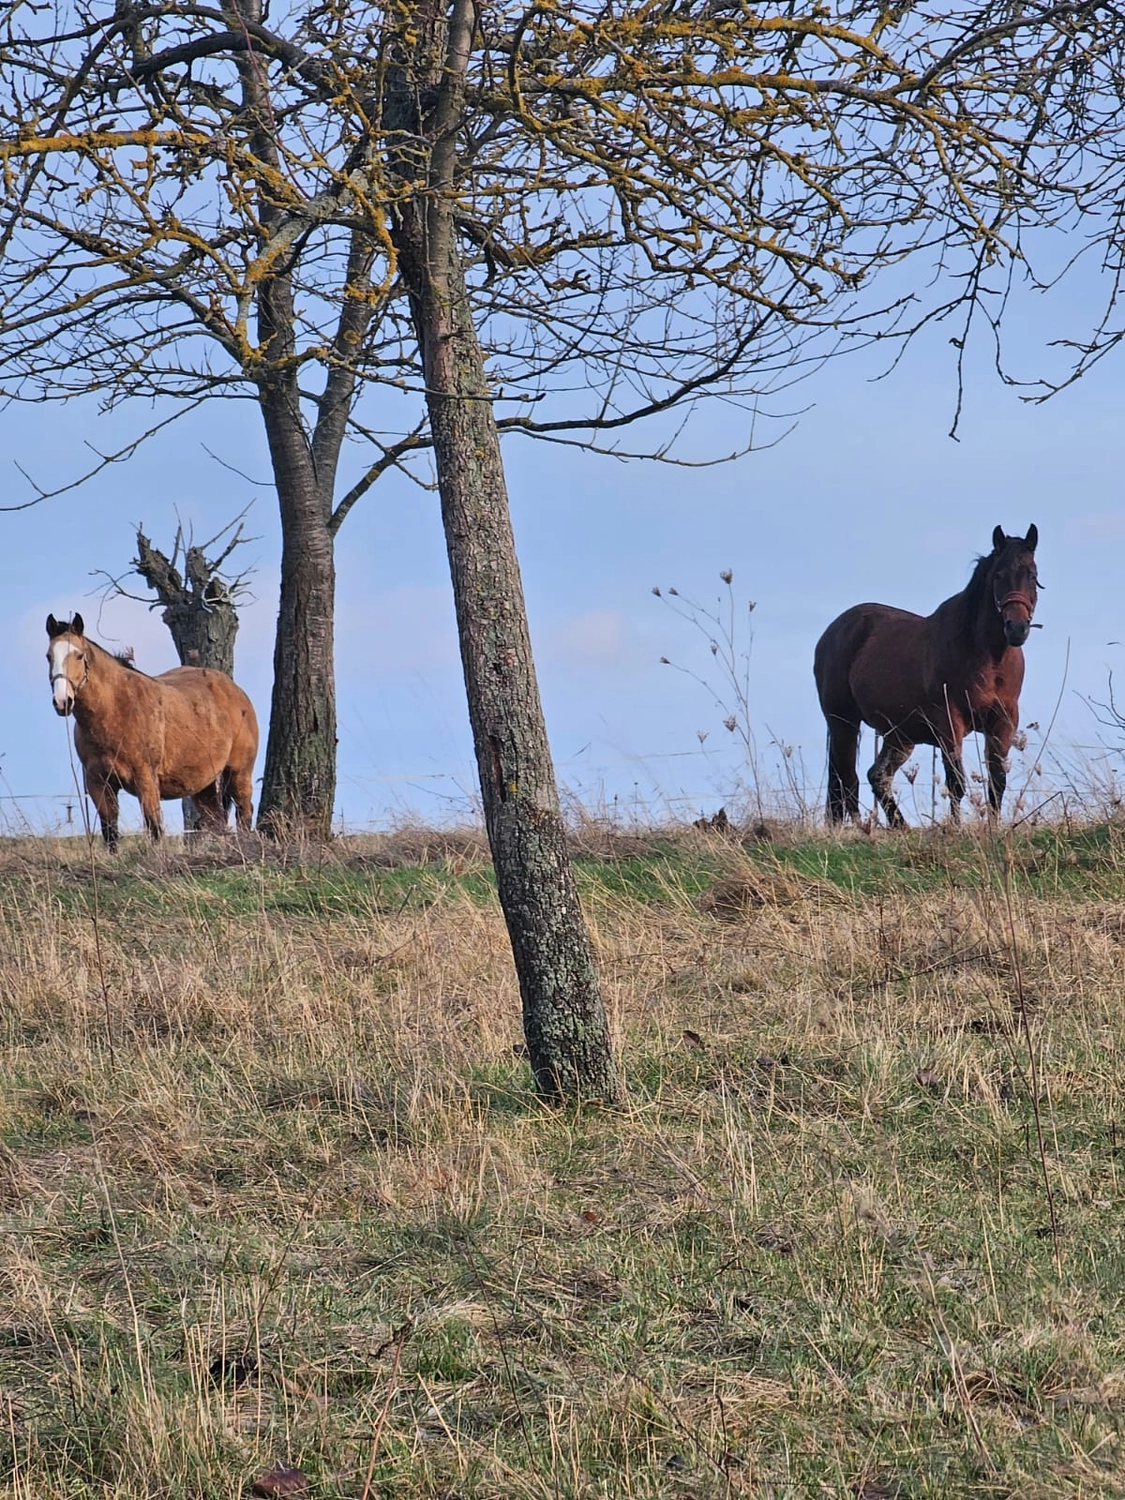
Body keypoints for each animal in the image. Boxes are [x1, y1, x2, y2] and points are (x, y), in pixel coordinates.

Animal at [46, 613, 259, 850]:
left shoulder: (146, 780)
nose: (62, 702)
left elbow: (154, 829)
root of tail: (236, 692)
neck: (116, 710)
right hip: (204, 785)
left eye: (79, 655)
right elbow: (110, 833)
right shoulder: (99, 784)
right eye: (49, 656)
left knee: (244, 813)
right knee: (216, 820)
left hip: (239, 773)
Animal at [813, 525, 1040, 828]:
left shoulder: (1003, 721)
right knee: (847, 780)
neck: (986, 656)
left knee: (877, 776)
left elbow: (997, 780)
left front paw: (993, 827)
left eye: (1033, 575)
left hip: (899, 735)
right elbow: (956, 782)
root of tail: (832, 633)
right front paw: (955, 827)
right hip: (843, 722)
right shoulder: (949, 721)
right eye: (998, 575)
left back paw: (899, 827)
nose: (1017, 628)